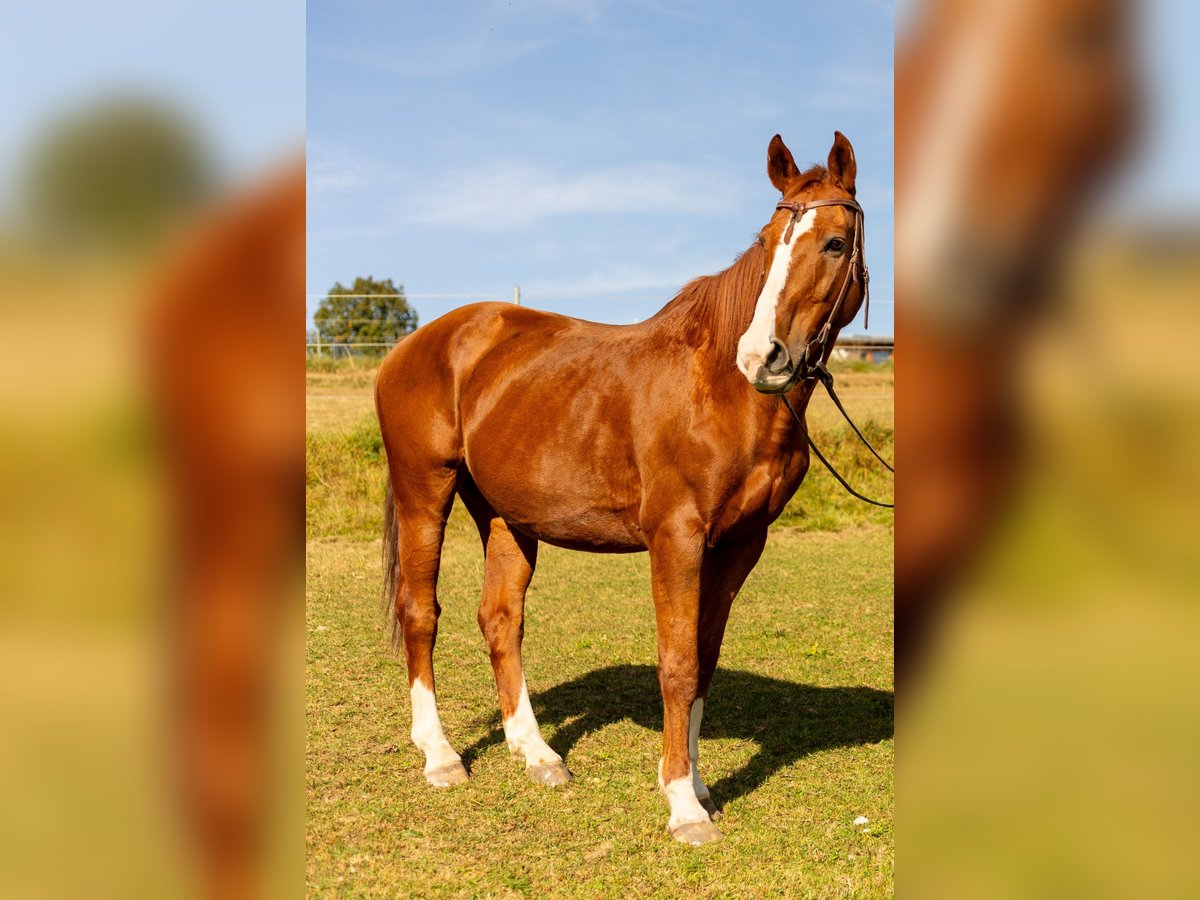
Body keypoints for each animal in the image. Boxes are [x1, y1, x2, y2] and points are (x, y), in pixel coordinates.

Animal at [374, 132, 873, 844]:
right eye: (767, 238)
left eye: (834, 242)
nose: (764, 357)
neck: (721, 388)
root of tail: (417, 344)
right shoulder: (677, 538)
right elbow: (677, 664)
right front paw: (683, 807)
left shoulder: (739, 546)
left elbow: (703, 660)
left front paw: (696, 785)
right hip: (425, 489)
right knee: (421, 612)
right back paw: (440, 757)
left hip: (504, 516)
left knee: (501, 618)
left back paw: (538, 754)